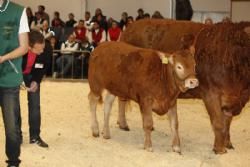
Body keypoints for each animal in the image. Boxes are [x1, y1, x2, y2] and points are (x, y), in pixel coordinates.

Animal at [120, 19, 249, 154]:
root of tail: (130, 26)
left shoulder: (233, 100)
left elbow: (227, 123)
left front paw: (227, 143)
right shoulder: (211, 94)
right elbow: (218, 122)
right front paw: (219, 149)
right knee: (121, 99)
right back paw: (123, 124)